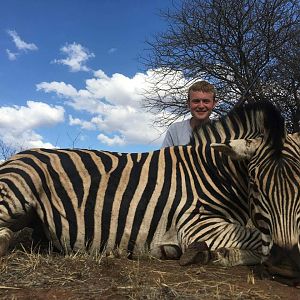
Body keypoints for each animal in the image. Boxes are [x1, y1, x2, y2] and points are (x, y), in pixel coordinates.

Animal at [0, 101, 298, 282]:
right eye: (255, 184)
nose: (285, 264)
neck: (213, 173)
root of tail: (16, 156)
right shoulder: (197, 225)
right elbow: (255, 240)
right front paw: (213, 254)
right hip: (19, 188)